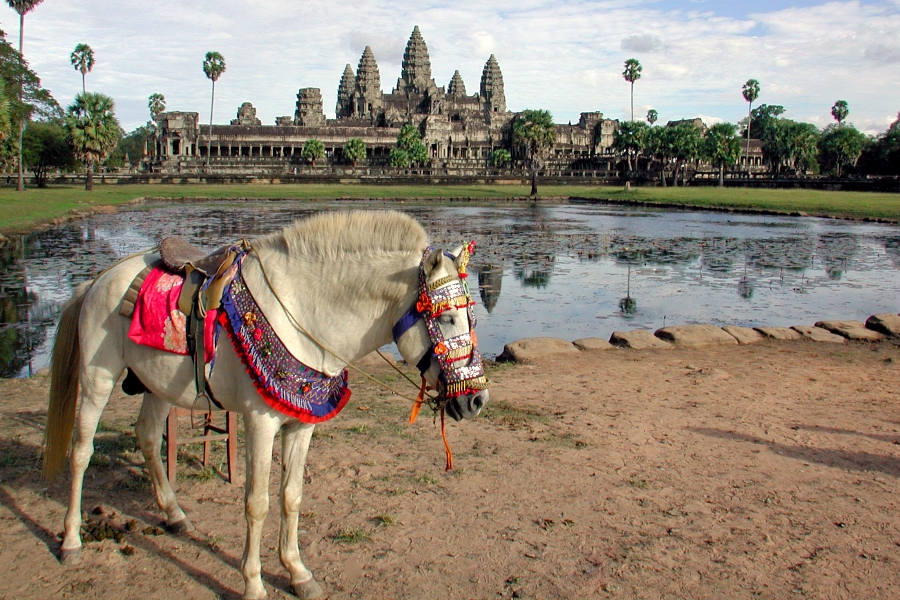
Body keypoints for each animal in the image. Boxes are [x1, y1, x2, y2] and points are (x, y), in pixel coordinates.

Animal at [42, 209, 492, 596]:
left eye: (471, 315)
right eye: (447, 318)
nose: (477, 400)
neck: (307, 311)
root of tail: (99, 277)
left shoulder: (302, 423)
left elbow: (292, 496)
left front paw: (297, 572)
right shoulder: (259, 421)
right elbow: (256, 502)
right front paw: (254, 583)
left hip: (157, 384)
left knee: (149, 437)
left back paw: (174, 515)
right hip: (98, 376)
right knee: (81, 450)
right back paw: (71, 540)